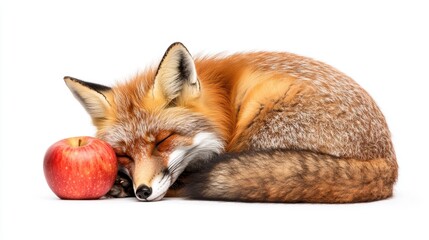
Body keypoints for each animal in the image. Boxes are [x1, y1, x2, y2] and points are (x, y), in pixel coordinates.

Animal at [64, 41, 398, 202]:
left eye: (162, 140)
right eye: (123, 154)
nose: (142, 191)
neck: (222, 102)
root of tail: (388, 160)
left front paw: (121, 186)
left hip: (264, 105)